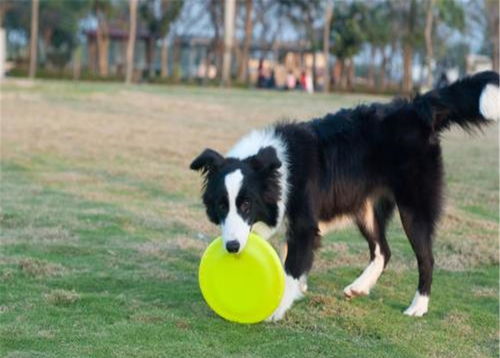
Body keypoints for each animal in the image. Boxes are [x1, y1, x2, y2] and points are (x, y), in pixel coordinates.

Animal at [189, 70, 498, 318]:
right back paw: (359, 287)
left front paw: (277, 307)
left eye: (246, 204)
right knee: (382, 250)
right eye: (221, 206)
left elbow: (292, 267)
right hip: (365, 206)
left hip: (414, 205)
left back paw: (418, 306)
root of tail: (417, 109)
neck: (274, 168)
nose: (231, 247)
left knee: (426, 257)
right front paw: (298, 290)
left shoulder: (304, 224)